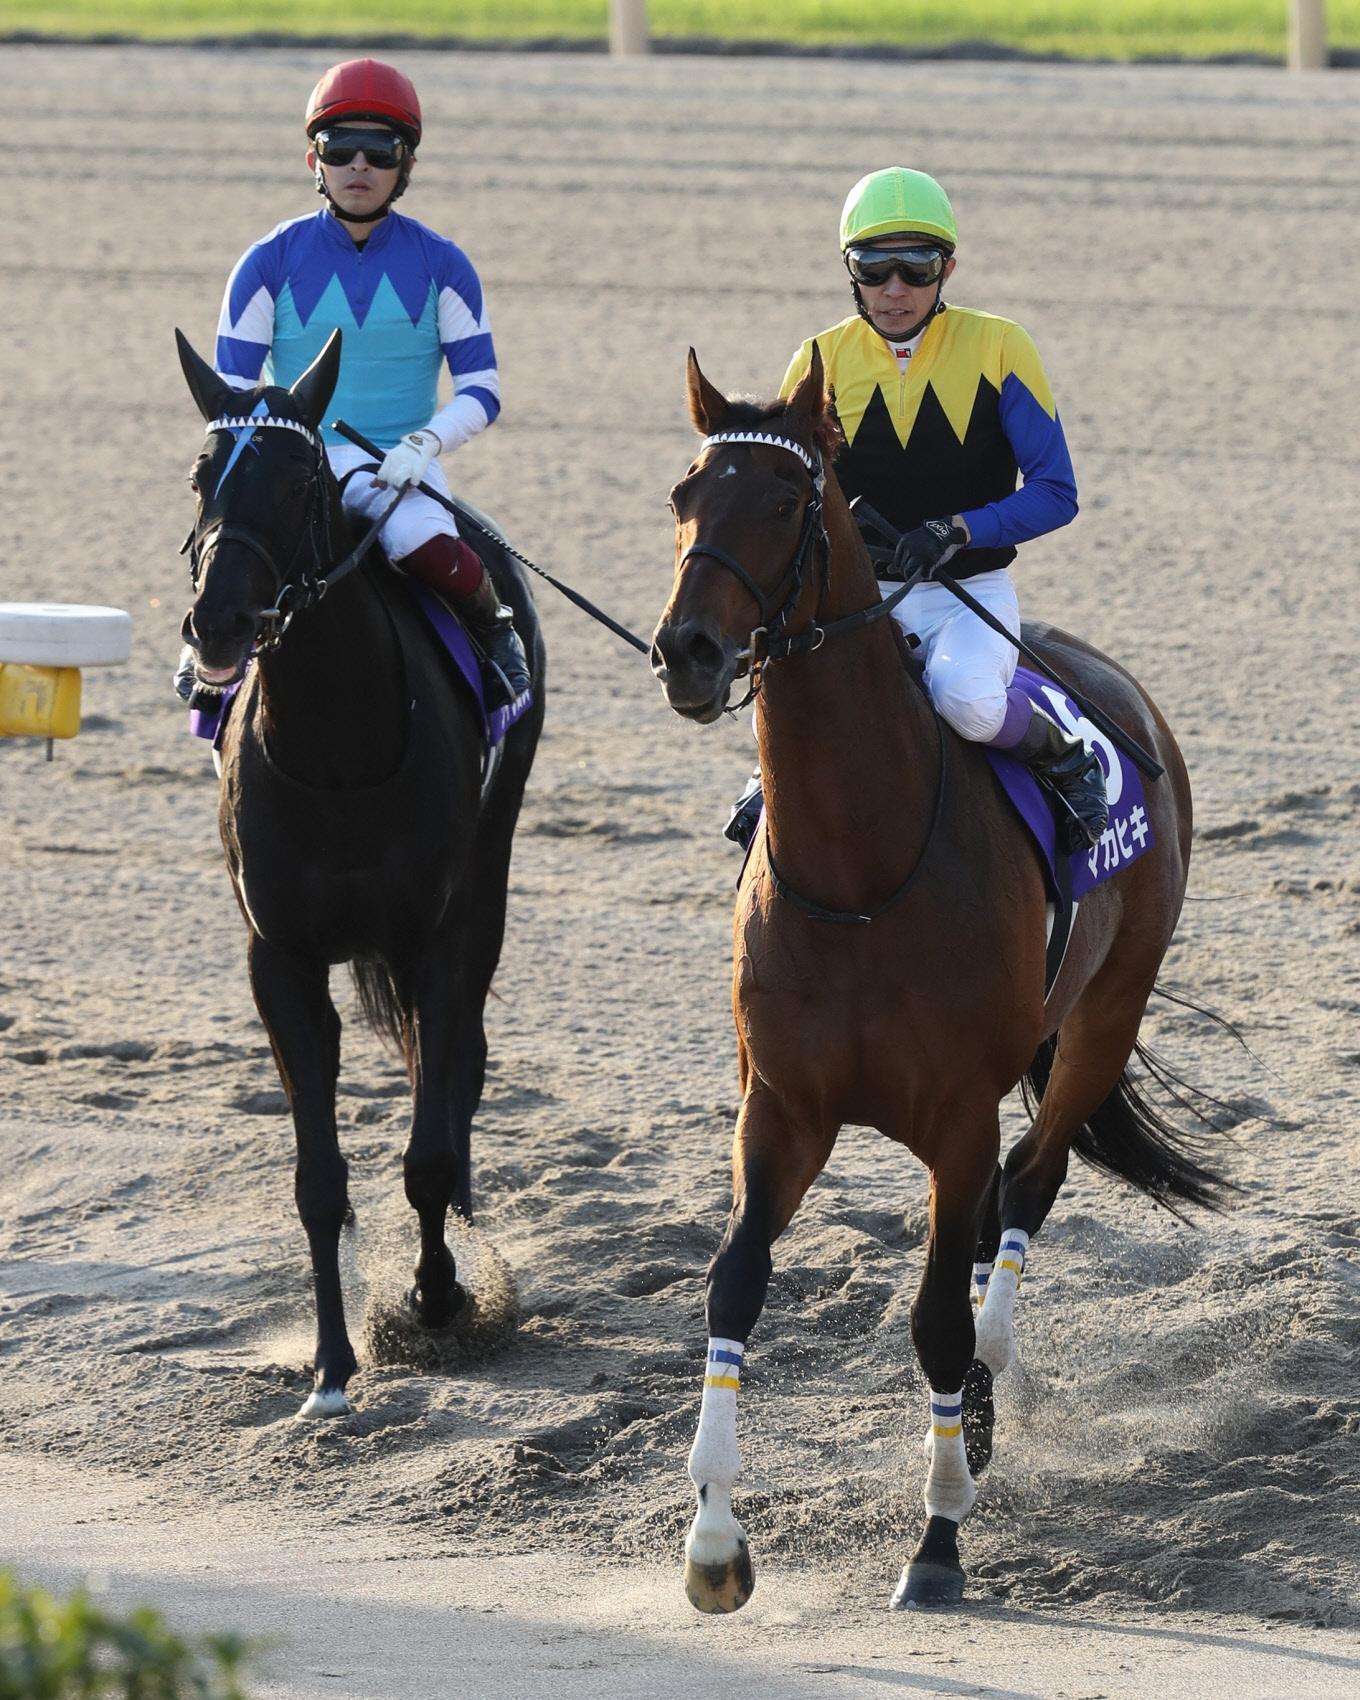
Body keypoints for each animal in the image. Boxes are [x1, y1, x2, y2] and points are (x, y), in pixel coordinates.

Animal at [174, 324, 540, 1414]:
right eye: (201, 472)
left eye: (299, 479)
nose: (217, 621)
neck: (337, 750)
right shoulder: (280, 959)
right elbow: (318, 1178)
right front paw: (334, 1363)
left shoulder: (435, 938)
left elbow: (425, 1152)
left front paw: (439, 1294)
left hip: (490, 879)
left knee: (459, 1066)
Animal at [649, 345, 1230, 1604]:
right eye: (684, 493)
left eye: (787, 500)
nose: (686, 652)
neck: (863, 866)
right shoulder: (781, 1104)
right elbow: (733, 1279)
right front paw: (714, 1536)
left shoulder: (959, 1113)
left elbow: (935, 1319)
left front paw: (938, 1533)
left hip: (1104, 1016)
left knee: (1026, 1188)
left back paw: (989, 1387)